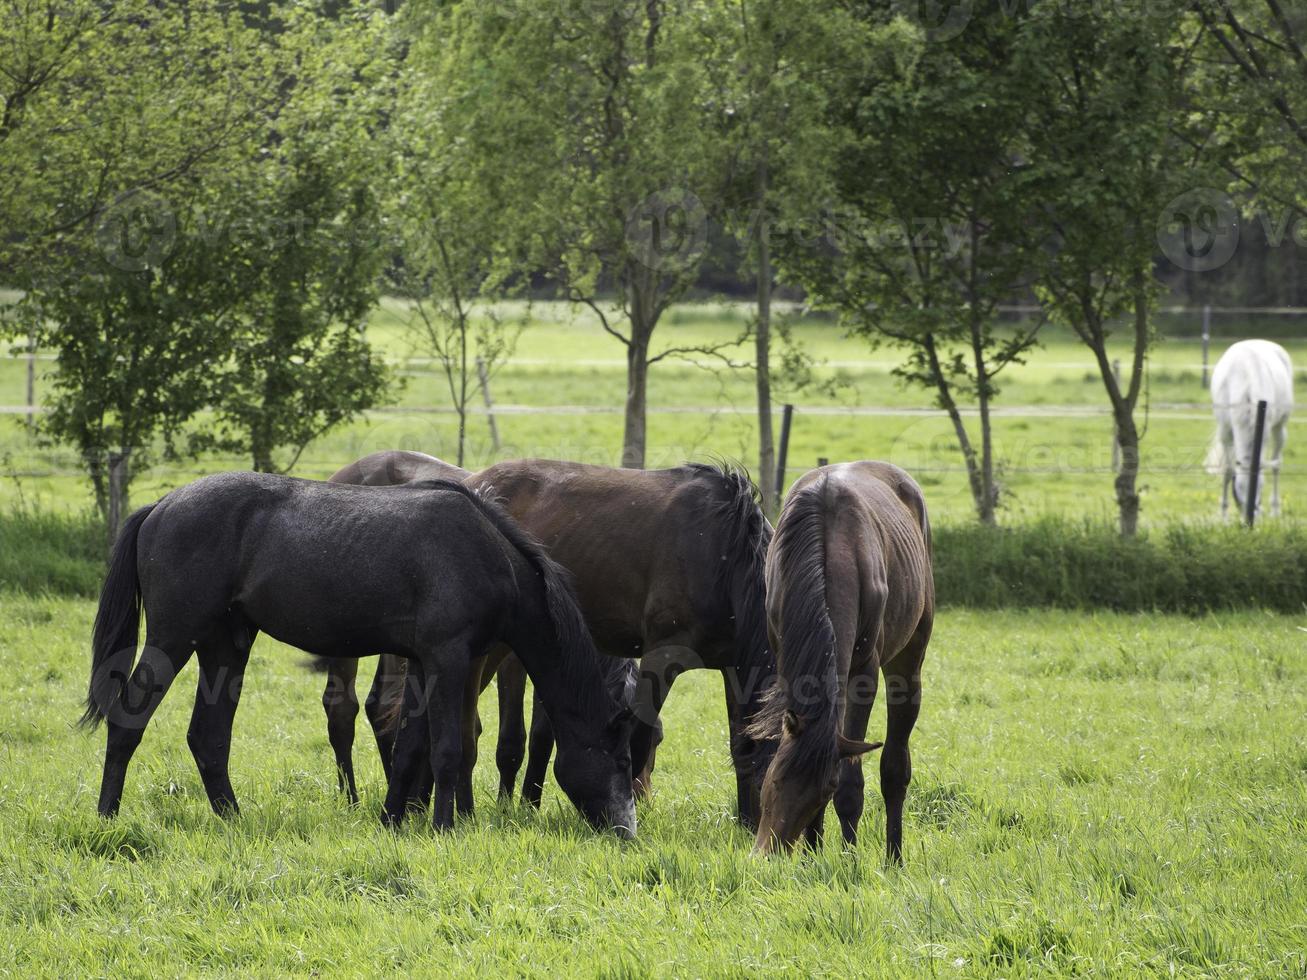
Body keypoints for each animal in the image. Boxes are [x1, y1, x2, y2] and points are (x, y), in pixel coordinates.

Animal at [76, 473, 637, 836]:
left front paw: (392, 821)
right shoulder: (448, 659)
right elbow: (448, 749)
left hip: (225, 644)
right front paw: (444, 828)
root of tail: (161, 505)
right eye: (618, 755)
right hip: (174, 637)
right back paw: (106, 819)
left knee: (208, 737)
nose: (626, 832)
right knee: (128, 722)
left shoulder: (426, 664)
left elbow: (411, 746)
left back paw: (233, 819)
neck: (486, 553)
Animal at [752, 465, 935, 862]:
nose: (769, 852)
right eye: (775, 777)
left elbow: (853, 780)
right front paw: (812, 855)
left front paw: (849, 859)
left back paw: (894, 858)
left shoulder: (863, 674)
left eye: (825, 790)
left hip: (908, 662)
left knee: (895, 767)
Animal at [1202, 342, 1296, 517]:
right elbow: (1227, 470)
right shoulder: (1226, 433)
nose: (1251, 517)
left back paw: (1275, 510)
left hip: (1280, 428)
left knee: (1277, 466)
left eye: (1260, 486)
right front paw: (1223, 515)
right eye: (1238, 487)